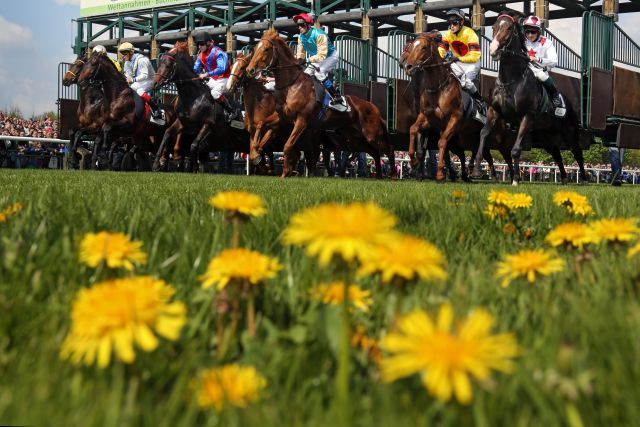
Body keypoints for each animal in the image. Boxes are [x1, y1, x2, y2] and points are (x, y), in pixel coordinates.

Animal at [152, 41, 248, 173]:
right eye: (159, 64)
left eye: (167, 66)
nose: (154, 83)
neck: (192, 98)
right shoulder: (183, 123)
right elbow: (166, 134)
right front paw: (157, 164)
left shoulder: (208, 124)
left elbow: (193, 146)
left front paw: (195, 168)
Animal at [245, 28, 396, 179]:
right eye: (255, 49)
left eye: (266, 49)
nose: (249, 70)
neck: (292, 85)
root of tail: (374, 108)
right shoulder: (282, 117)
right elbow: (261, 125)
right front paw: (256, 155)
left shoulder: (302, 120)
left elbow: (288, 146)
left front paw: (285, 172)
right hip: (354, 138)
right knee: (375, 152)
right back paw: (379, 175)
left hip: (372, 133)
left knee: (388, 149)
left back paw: (393, 175)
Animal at [402, 31, 512, 182]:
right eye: (412, 46)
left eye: (423, 47)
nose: (408, 66)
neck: (438, 88)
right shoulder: (427, 118)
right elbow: (413, 129)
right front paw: (413, 162)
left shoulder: (454, 118)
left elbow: (442, 142)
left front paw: (440, 174)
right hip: (470, 137)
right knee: (482, 154)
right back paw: (481, 174)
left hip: (498, 137)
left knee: (506, 153)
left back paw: (513, 177)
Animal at [472, 11, 588, 186]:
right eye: (494, 26)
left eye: (508, 28)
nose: (493, 50)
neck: (510, 81)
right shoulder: (494, 111)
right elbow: (483, 134)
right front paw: (477, 169)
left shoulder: (526, 116)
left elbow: (515, 149)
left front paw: (515, 179)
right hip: (546, 135)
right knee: (557, 155)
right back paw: (563, 178)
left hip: (569, 131)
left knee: (577, 152)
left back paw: (584, 179)